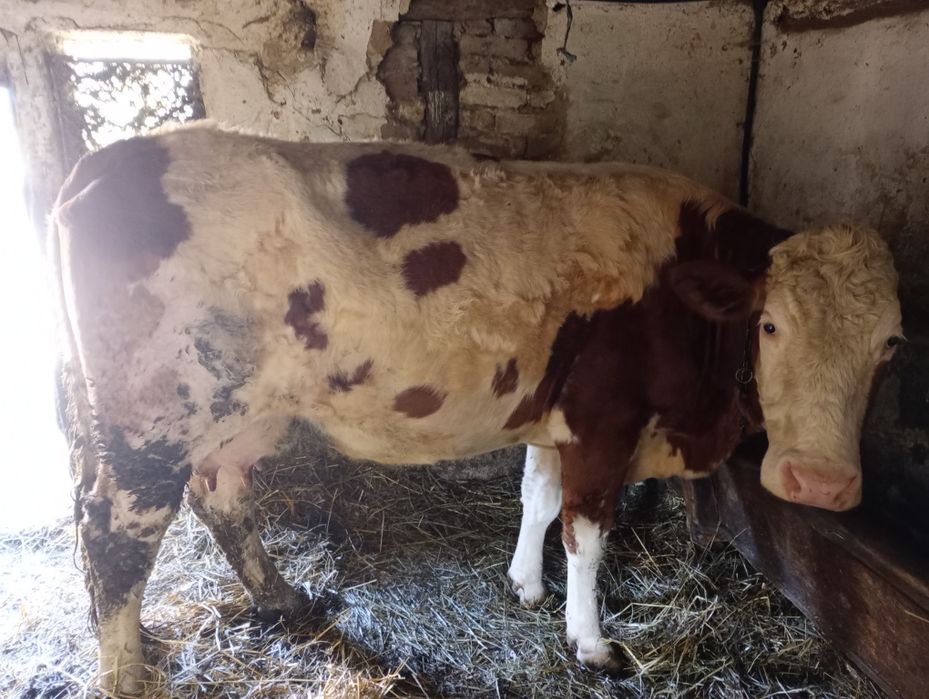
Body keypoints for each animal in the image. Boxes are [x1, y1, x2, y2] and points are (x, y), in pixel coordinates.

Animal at [51, 122, 902, 695]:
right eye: (770, 324)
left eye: (890, 343)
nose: (819, 483)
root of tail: (101, 163)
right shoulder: (605, 420)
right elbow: (585, 533)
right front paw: (589, 641)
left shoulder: (556, 418)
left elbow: (536, 497)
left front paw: (524, 584)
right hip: (150, 425)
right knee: (114, 540)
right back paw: (127, 673)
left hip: (231, 415)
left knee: (219, 495)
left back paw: (279, 598)